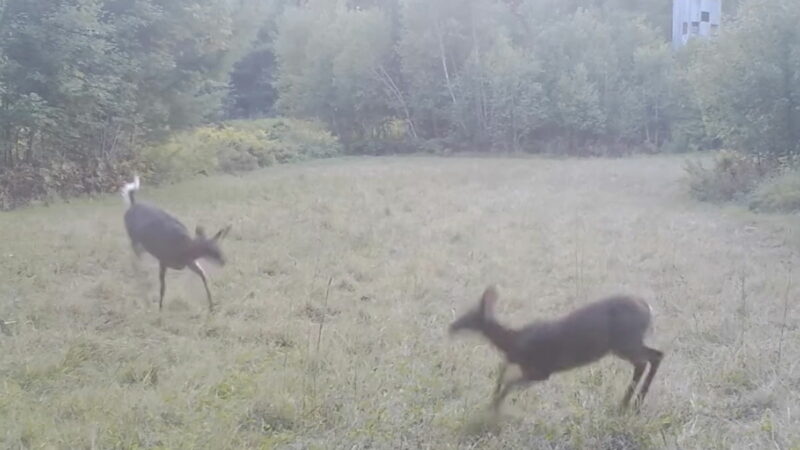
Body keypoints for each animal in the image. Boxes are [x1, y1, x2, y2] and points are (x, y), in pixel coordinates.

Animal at [121, 176, 231, 312]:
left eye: (219, 246)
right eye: (208, 249)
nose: (223, 261)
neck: (184, 250)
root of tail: (133, 204)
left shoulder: (189, 262)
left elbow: (203, 275)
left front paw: (211, 305)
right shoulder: (163, 259)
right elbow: (163, 286)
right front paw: (160, 307)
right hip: (135, 240)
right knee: (134, 261)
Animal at [450, 286, 664, 414]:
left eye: (469, 315)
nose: (451, 326)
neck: (514, 340)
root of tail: (648, 307)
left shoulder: (542, 371)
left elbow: (509, 382)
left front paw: (494, 409)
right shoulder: (523, 366)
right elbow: (502, 375)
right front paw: (492, 402)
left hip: (625, 342)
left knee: (648, 359)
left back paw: (630, 403)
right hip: (626, 343)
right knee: (654, 356)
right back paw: (632, 403)